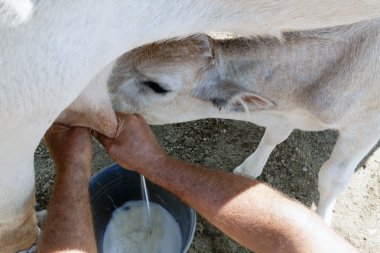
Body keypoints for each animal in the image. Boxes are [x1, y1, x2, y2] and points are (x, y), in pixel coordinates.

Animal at [0, 0, 380, 251]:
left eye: (157, 85)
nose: (88, 101)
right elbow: (274, 135)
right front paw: (248, 170)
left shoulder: (364, 126)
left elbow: (332, 178)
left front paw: (324, 220)